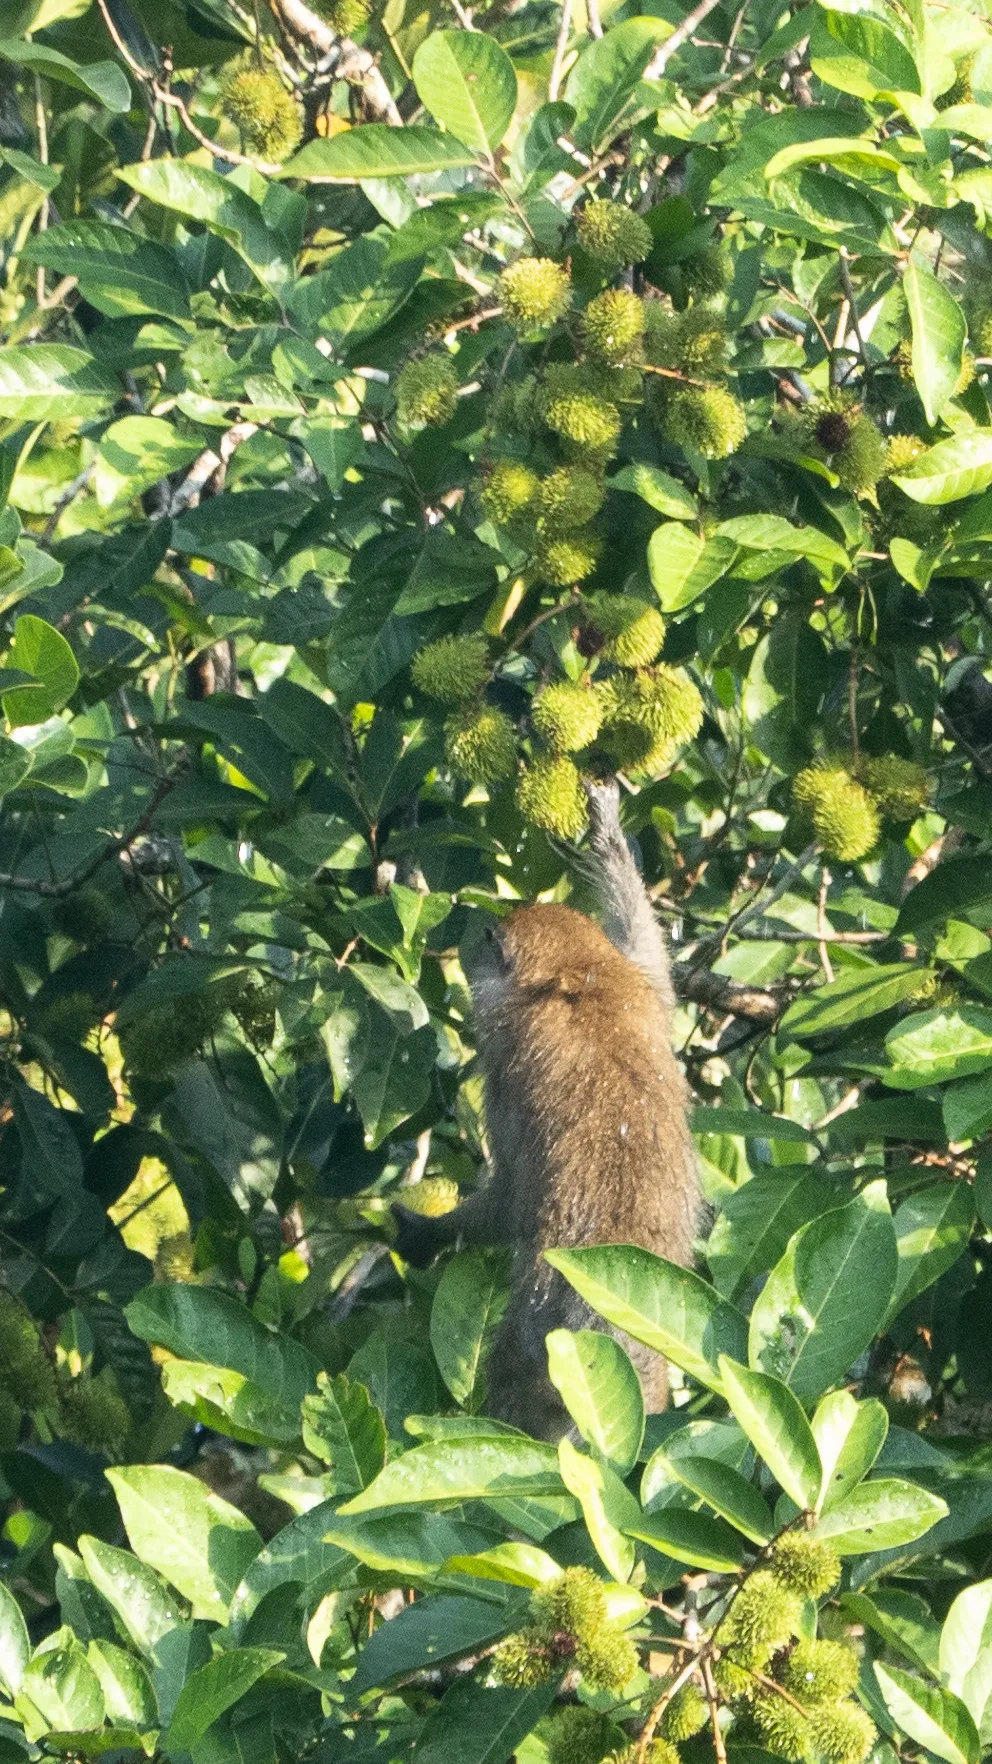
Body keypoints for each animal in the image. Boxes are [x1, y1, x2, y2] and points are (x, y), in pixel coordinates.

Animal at [391, 778, 698, 1440]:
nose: (472, 941)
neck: (574, 975)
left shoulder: (506, 1067)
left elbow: (511, 1199)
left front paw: (432, 1232)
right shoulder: (639, 981)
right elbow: (644, 939)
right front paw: (606, 831)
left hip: (544, 1336)